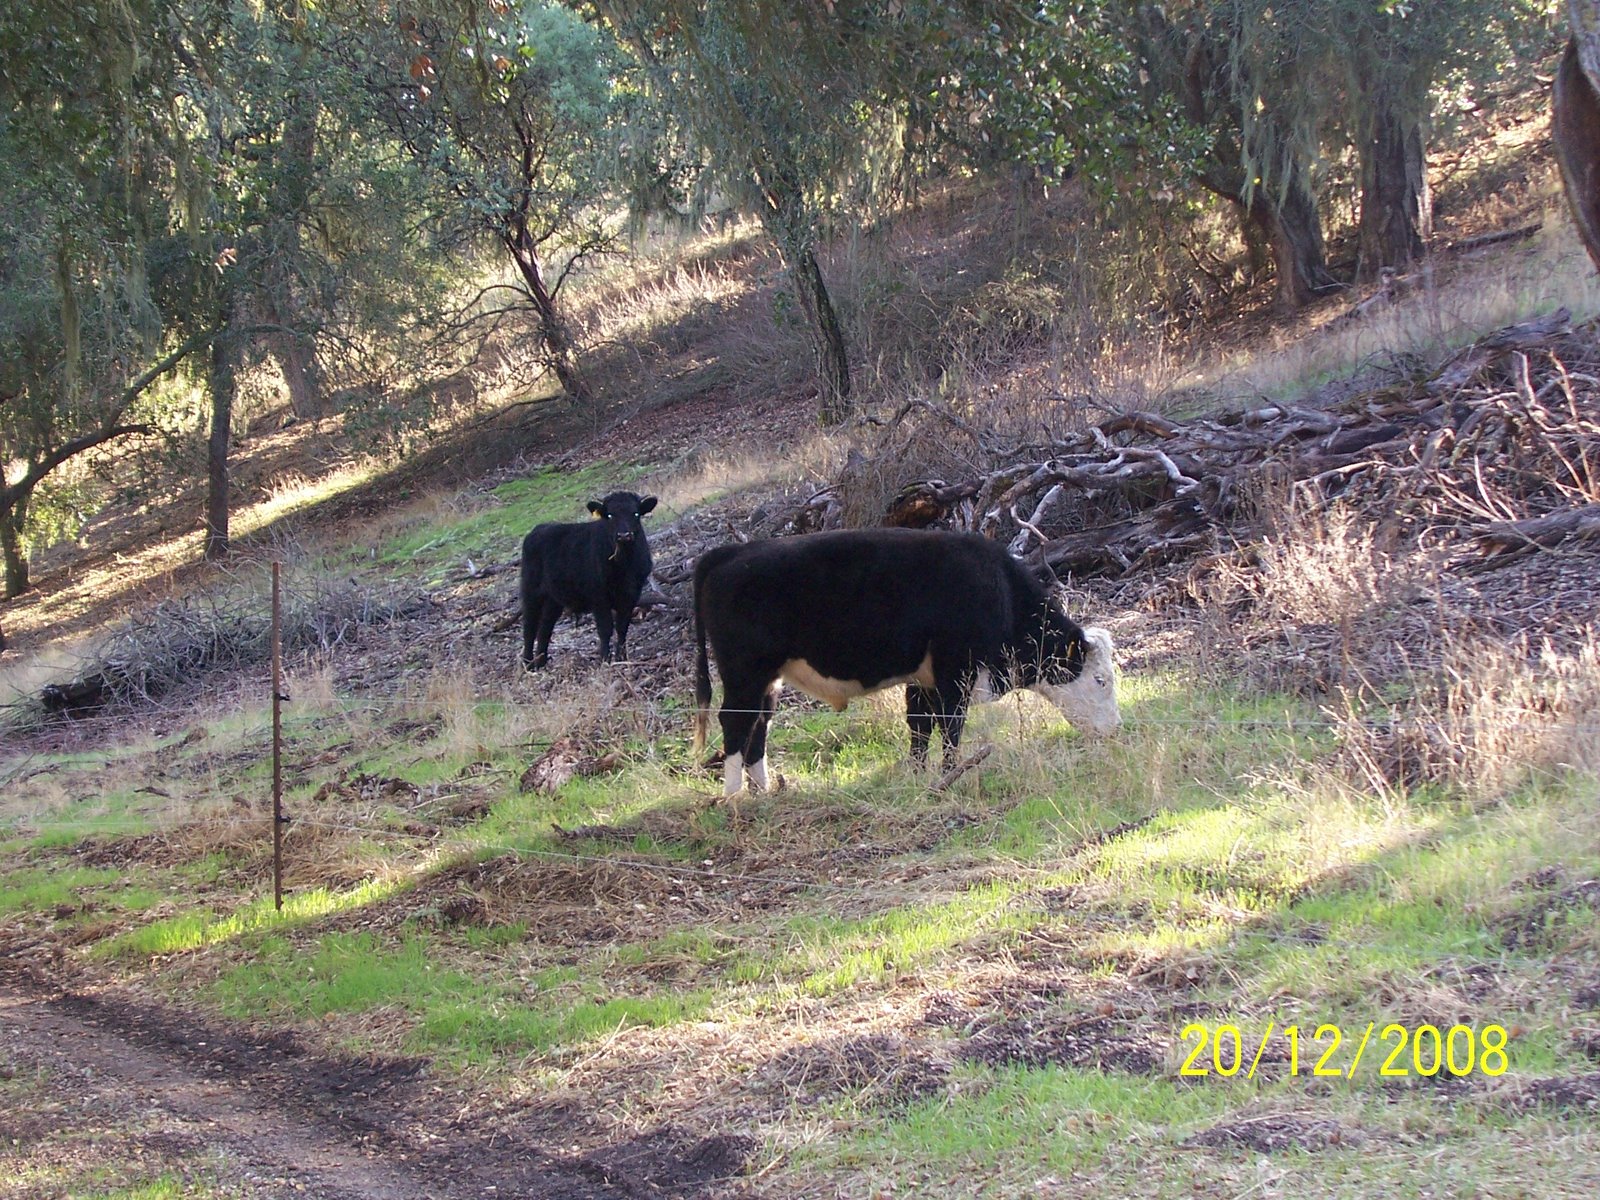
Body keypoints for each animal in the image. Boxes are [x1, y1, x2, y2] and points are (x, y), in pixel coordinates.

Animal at [520, 491, 657, 670]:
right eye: (610, 515)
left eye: (635, 514)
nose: (624, 536)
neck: (624, 565)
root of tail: (538, 529)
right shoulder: (598, 597)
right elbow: (605, 629)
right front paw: (605, 659)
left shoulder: (631, 594)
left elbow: (622, 627)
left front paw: (622, 657)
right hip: (531, 591)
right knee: (529, 628)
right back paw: (528, 664)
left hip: (553, 599)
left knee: (545, 628)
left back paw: (541, 663)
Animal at [691, 528, 1120, 795]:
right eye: (1100, 679)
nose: (1114, 730)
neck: (997, 589)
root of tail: (729, 553)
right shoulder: (955, 675)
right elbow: (949, 729)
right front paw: (950, 775)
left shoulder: (923, 680)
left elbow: (920, 730)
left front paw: (917, 776)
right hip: (745, 673)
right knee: (736, 722)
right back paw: (734, 796)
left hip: (768, 679)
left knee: (759, 724)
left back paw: (764, 791)